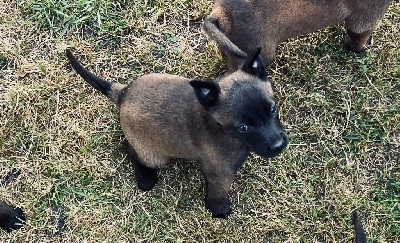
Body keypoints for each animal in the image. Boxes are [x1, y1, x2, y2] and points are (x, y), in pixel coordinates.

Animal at [66, 47, 288, 218]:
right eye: (243, 127)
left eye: (272, 109)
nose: (279, 145)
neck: (222, 130)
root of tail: (123, 93)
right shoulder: (219, 173)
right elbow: (218, 194)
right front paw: (218, 211)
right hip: (156, 157)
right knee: (129, 147)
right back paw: (145, 179)